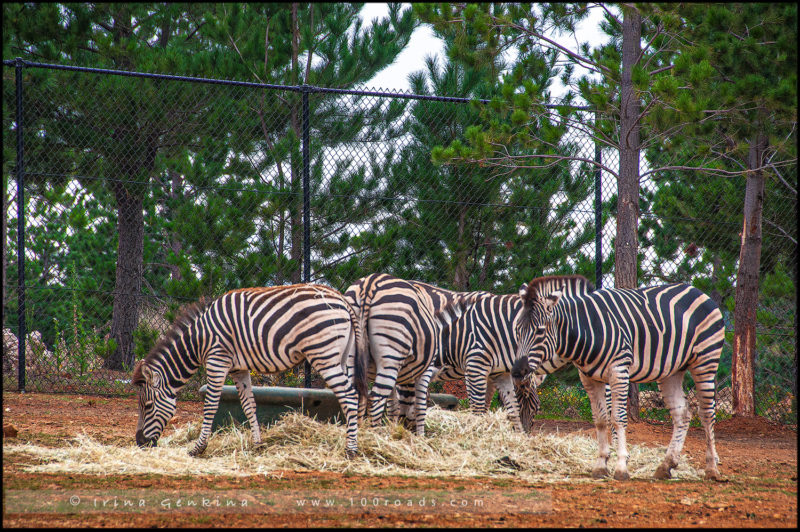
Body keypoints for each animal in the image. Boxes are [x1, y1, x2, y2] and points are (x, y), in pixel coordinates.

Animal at [133, 284, 368, 460]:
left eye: (148, 405)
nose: (139, 443)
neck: (199, 341)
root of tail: (343, 300)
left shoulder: (217, 360)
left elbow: (210, 406)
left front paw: (198, 448)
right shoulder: (239, 369)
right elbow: (249, 405)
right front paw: (257, 444)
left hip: (324, 354)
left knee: (349, 396)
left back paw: (350, 450)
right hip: (344, 356)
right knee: (355, 395)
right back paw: (357, 442)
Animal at [344, 274, 468, 436]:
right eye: (429, 400)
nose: (407, 427)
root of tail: (370, 283)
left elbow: (393, 406)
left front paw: (392, 430)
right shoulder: (427, 370)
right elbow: (419, 406)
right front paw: (421, 437)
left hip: (352, 356)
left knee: (354, 395)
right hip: (390, 356)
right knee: (376, 398)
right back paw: (375, 434)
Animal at [516, 278, 728, 482]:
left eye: (540, 331)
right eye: (518, 330)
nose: (518, 370)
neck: (585, 329)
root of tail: (698, 291)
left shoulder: (618, 371)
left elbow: (617, 418)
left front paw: (621, 466)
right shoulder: (588, 378)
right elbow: (600, 420)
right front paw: (601, 465)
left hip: (705, 361)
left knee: (707, 414)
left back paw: (712, 469)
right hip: (671, 371)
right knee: (682, 414)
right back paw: (665, 466)